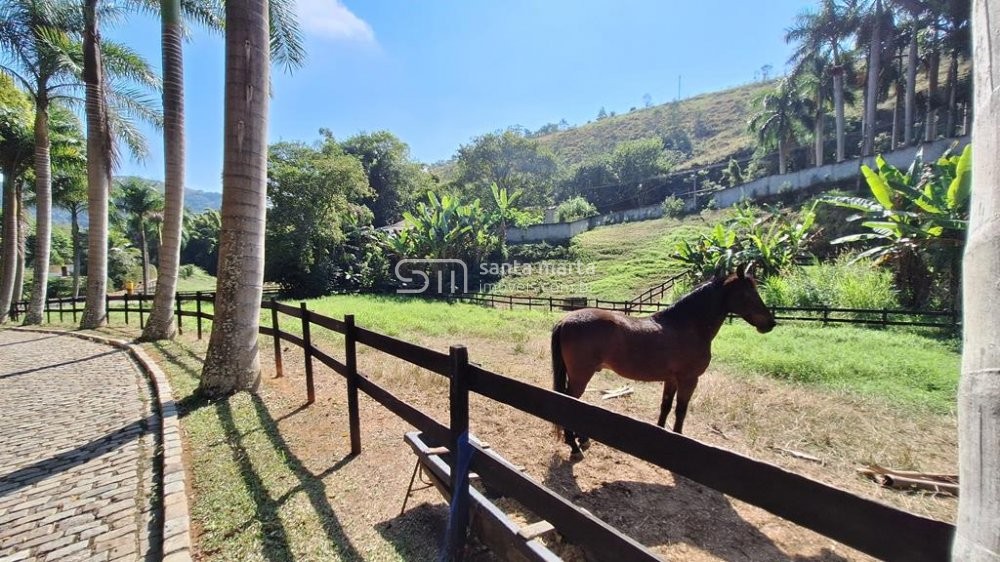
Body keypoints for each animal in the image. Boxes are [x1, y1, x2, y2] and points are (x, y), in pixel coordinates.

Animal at [556, 270, 772, 458]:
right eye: (748, 293)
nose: (770, 323)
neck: (688, 325)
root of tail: (565, 320)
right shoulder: (689, 380)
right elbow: (680, 410)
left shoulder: (672, 380)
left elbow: (666, 406)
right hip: (580, 377)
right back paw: (574, 446)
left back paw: (581, 439)